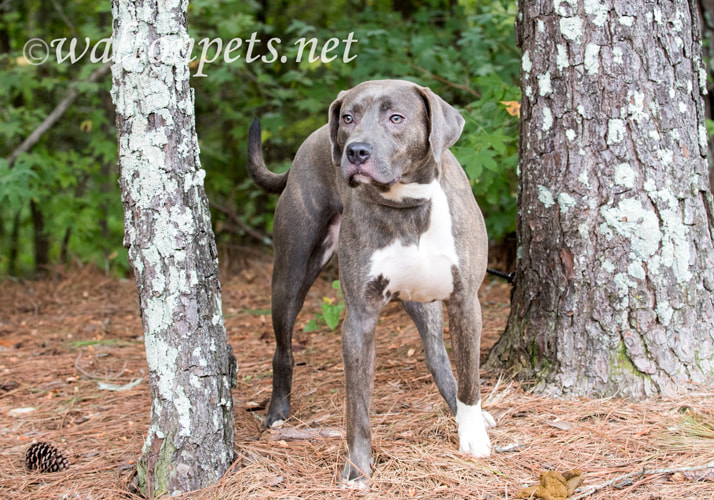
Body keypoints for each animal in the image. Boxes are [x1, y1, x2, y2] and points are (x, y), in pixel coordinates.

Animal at [248, 79, 492, 484]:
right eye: (348, 117)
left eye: (396, 118)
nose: (356, 150)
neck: (407, 205)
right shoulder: (359, 319)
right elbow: (357, 410)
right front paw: (358, 467)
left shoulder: (465, 302)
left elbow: (470, 380)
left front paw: (472, 435)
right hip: (291, 273)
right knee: (283, 349)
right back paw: (277, 412)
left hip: (423, 301)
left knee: (438, 355)